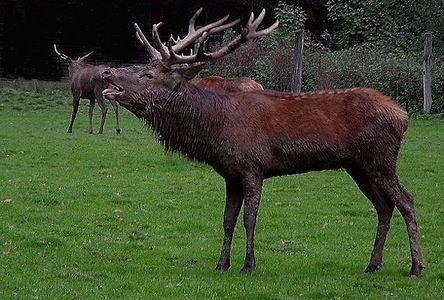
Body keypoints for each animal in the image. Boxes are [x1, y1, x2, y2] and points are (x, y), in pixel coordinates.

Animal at [100, 8, 424, 276]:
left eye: (147, 73)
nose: (106, 71)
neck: (213, 127)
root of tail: (403, 115)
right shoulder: (230, 174)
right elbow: (227, 219)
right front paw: (221, 264)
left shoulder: (253, 166)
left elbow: (249, 218)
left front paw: (248, 265)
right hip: (357, 165)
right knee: (384, 206)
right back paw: (373, 264)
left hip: (380, 158)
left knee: (406, 201)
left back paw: (416, 267)